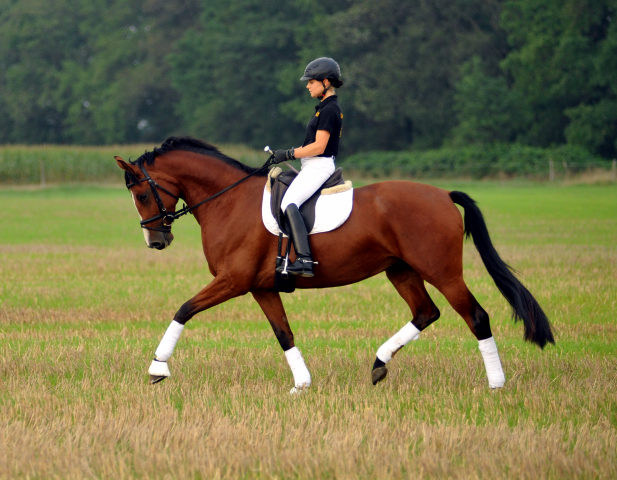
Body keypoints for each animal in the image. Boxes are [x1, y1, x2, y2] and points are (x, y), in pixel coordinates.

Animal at [114, 137, 552, 392]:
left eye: (141, 194)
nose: (156, 241)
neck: (228, 200)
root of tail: (443, 195)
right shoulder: (261, 286)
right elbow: (284, 333)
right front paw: (302, 385)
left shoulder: (233, 280)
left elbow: (183, 309)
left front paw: (158, 368)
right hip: (401, 270)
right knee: (426, 312)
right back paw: (378, 364)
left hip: (441, 271)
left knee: (475, 316)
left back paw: (496, 384)